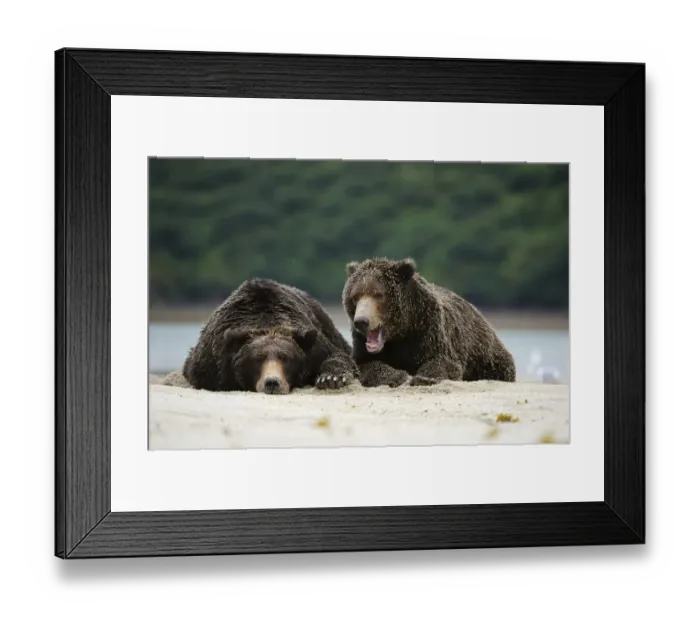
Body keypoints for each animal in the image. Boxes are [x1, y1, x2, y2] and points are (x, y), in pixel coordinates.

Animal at [182, 278, 359, 394]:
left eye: (285, 358)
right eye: (257, 359)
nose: (272, 382)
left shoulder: (313, 346)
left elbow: (337, 356)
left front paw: (330, 379)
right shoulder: (213, 359)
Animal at [341, 257, 516, 387]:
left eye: (378, 294)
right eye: (356, 296)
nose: (361, 321)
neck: (401, 332)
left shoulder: (427, 331)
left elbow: (443, 362)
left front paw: (424, 378)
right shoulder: (361, 342)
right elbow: (363, 364)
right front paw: (396, 375)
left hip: (484, 353)